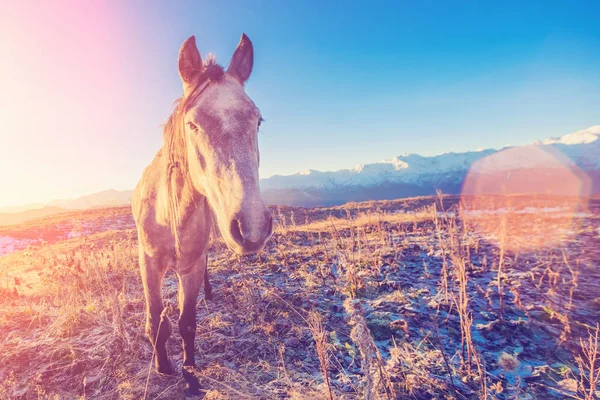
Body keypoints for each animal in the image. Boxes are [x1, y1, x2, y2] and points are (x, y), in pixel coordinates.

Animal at [132, 32, 274, 396]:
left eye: (258, 120)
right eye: (192, 124)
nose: (252, 226)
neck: (169, 216)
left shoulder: (191, 267)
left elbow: (187, 323)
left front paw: (191, 376)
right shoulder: (148, 262)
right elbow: (155, 319)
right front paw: (163, 366)